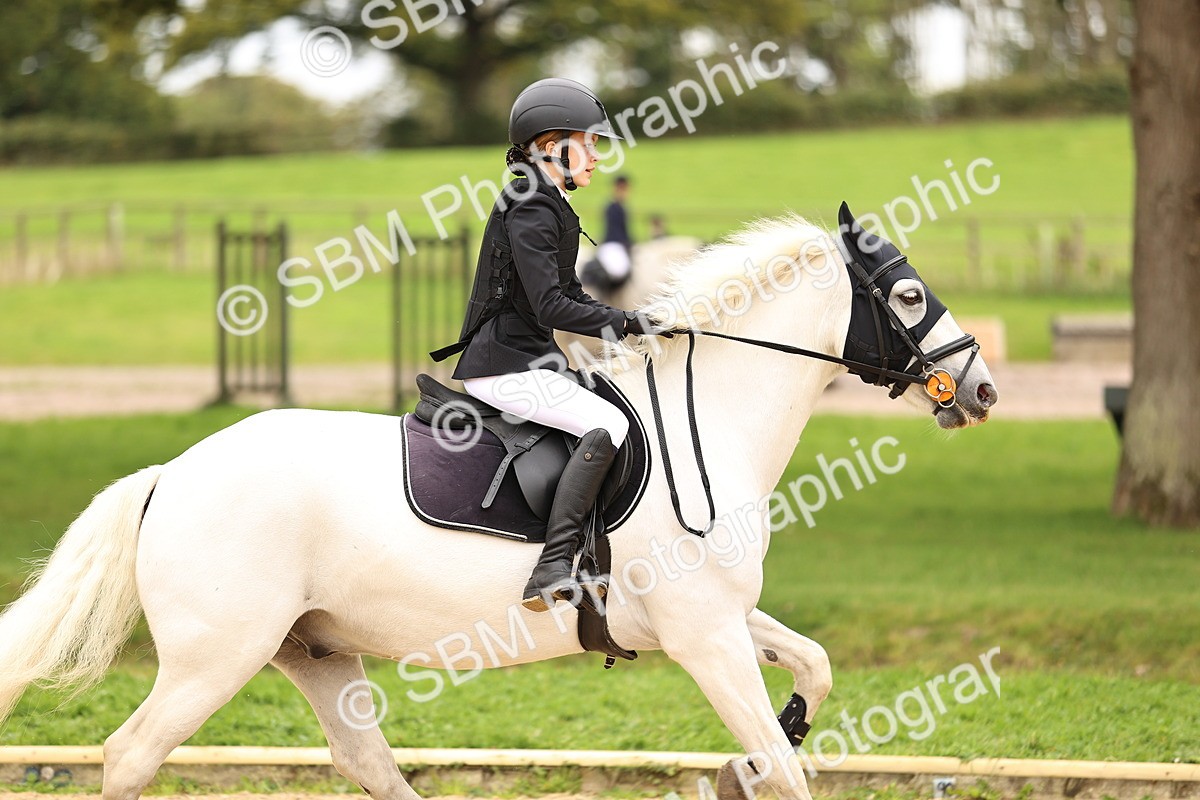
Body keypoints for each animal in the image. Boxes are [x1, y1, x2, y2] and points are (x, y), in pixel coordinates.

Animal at [0, 207, 997, 800]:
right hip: (216, 657)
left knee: (365, 761)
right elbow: (790, 773)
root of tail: (171, 473)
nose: (983, 390)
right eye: (909, 294)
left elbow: (814, 668)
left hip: (312, 649)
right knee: (131, 754)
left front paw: (757, 749)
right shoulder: (704, 635)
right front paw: (758, 757)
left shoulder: (713, 618)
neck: (709, 421)